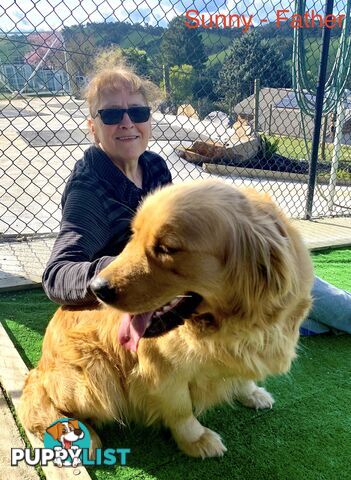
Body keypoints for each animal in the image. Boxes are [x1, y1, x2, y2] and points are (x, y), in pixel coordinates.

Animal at [18, 179, 314, 458]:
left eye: (167, 248)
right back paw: (81, 434)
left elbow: (241, 376)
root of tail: (41, 366)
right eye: (134, 236)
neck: (222, 326)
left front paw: (251, 392)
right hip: (95, 374)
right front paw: (197, 439)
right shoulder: (159, 369)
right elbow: (181, 409)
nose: (96, 288)